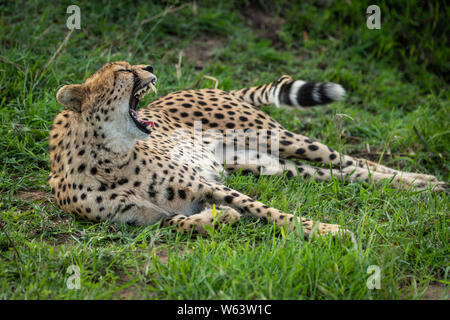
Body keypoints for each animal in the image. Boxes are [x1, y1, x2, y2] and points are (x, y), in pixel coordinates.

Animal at [48, 61, 446, 239]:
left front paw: (325, 230)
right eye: (123, 72)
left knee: (353, 162)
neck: (109, 159)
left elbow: (270, 212)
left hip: (280, 137)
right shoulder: (145, 220)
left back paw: (421, 181)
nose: (147, 66)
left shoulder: (209, 185)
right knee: (340, 173)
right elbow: (179, 222)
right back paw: (421, 185)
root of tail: (210, 88)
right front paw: (217, 218)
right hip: (266, 164)